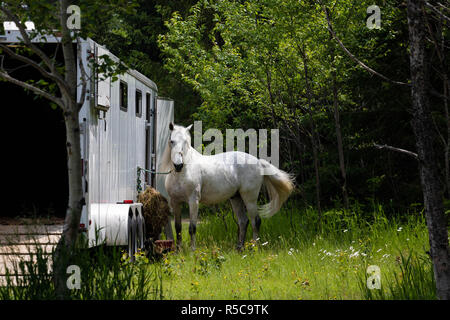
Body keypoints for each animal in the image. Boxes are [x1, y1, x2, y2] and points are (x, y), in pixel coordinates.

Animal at [162, 122, 296, 250]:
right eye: (172, 141)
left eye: (186, 142)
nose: (178, 165)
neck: (182, 172)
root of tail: (258, 162)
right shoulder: (175, 202)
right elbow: (178, 228)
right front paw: (178, 251)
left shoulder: (193, 201)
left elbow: (192, 228)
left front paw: (192, 251)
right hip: (236, 198)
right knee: (243, 221)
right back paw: (239, 248)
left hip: (250, 199)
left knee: (255, 221)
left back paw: (254, 247)